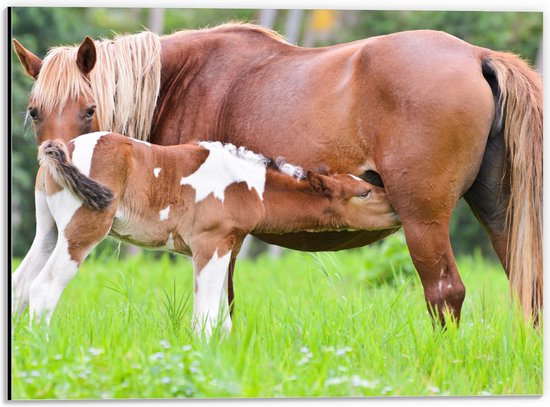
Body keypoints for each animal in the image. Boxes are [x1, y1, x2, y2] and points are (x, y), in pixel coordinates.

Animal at [14, 131, 402, 338]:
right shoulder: (209, 245)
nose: (398, 206)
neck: (247, 185)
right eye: (364, 193)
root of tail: (62, 148)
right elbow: (204, 318)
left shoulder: (228, 248)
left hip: (50, 230)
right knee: (44, 288)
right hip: (83, 229)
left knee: (20, 285)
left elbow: (222, 319)